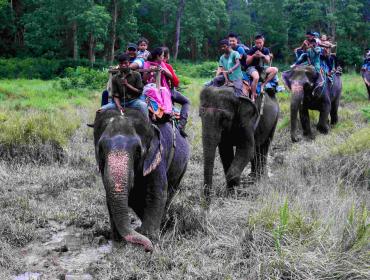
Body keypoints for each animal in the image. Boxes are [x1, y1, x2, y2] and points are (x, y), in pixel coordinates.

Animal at [94, 109, 189, 252]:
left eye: (138, 151)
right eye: (101, 149)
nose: (148, 248)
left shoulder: (157, 158)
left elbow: (156, 194)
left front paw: (150, 238)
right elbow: (112, 197)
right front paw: (118, 243)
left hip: (182, 167)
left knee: (170, 192)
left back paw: (163, 223)